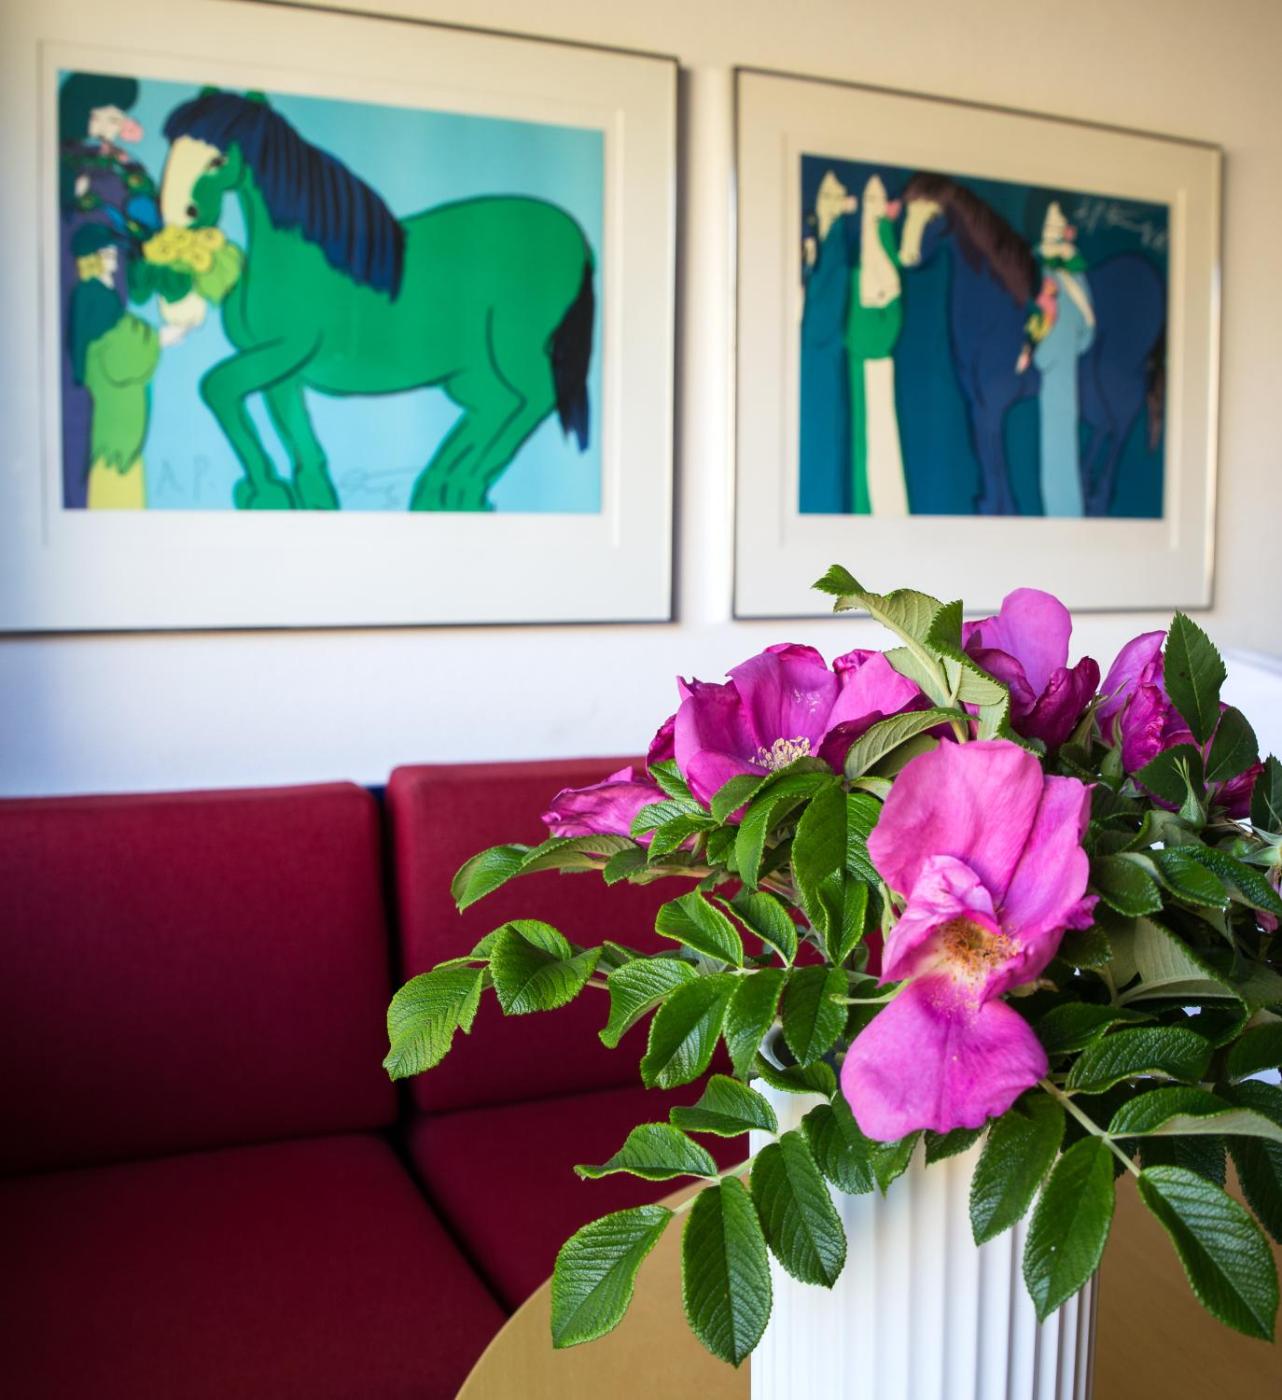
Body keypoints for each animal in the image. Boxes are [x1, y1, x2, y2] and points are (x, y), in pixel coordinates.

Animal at [158, 91, 595, 511]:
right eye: (173, 148)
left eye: (218, 158)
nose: (180, 215)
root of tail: (578, 241)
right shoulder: (279, 365)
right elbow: (290, 425)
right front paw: (307, 495)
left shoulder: (289, 349)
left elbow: (218, 386)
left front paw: (267, 489)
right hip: (472, 370)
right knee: (496, 404)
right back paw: (440, 487)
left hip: (512, 348)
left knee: (535, 397)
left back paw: (461, 485)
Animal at [898, 173, 1165, 517]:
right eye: (906, 210)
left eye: (933, 217)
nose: (907, 257)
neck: (996, 312)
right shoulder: (976, 400)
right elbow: (986, 448)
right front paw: (990, 506)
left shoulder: (993, 400)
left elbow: (994, 448)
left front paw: (1006, 508)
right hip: (1091, 387)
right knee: (1105, 424)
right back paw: (1084, 485)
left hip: (1121, 379)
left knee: (1122, 422)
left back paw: (1097, 496)